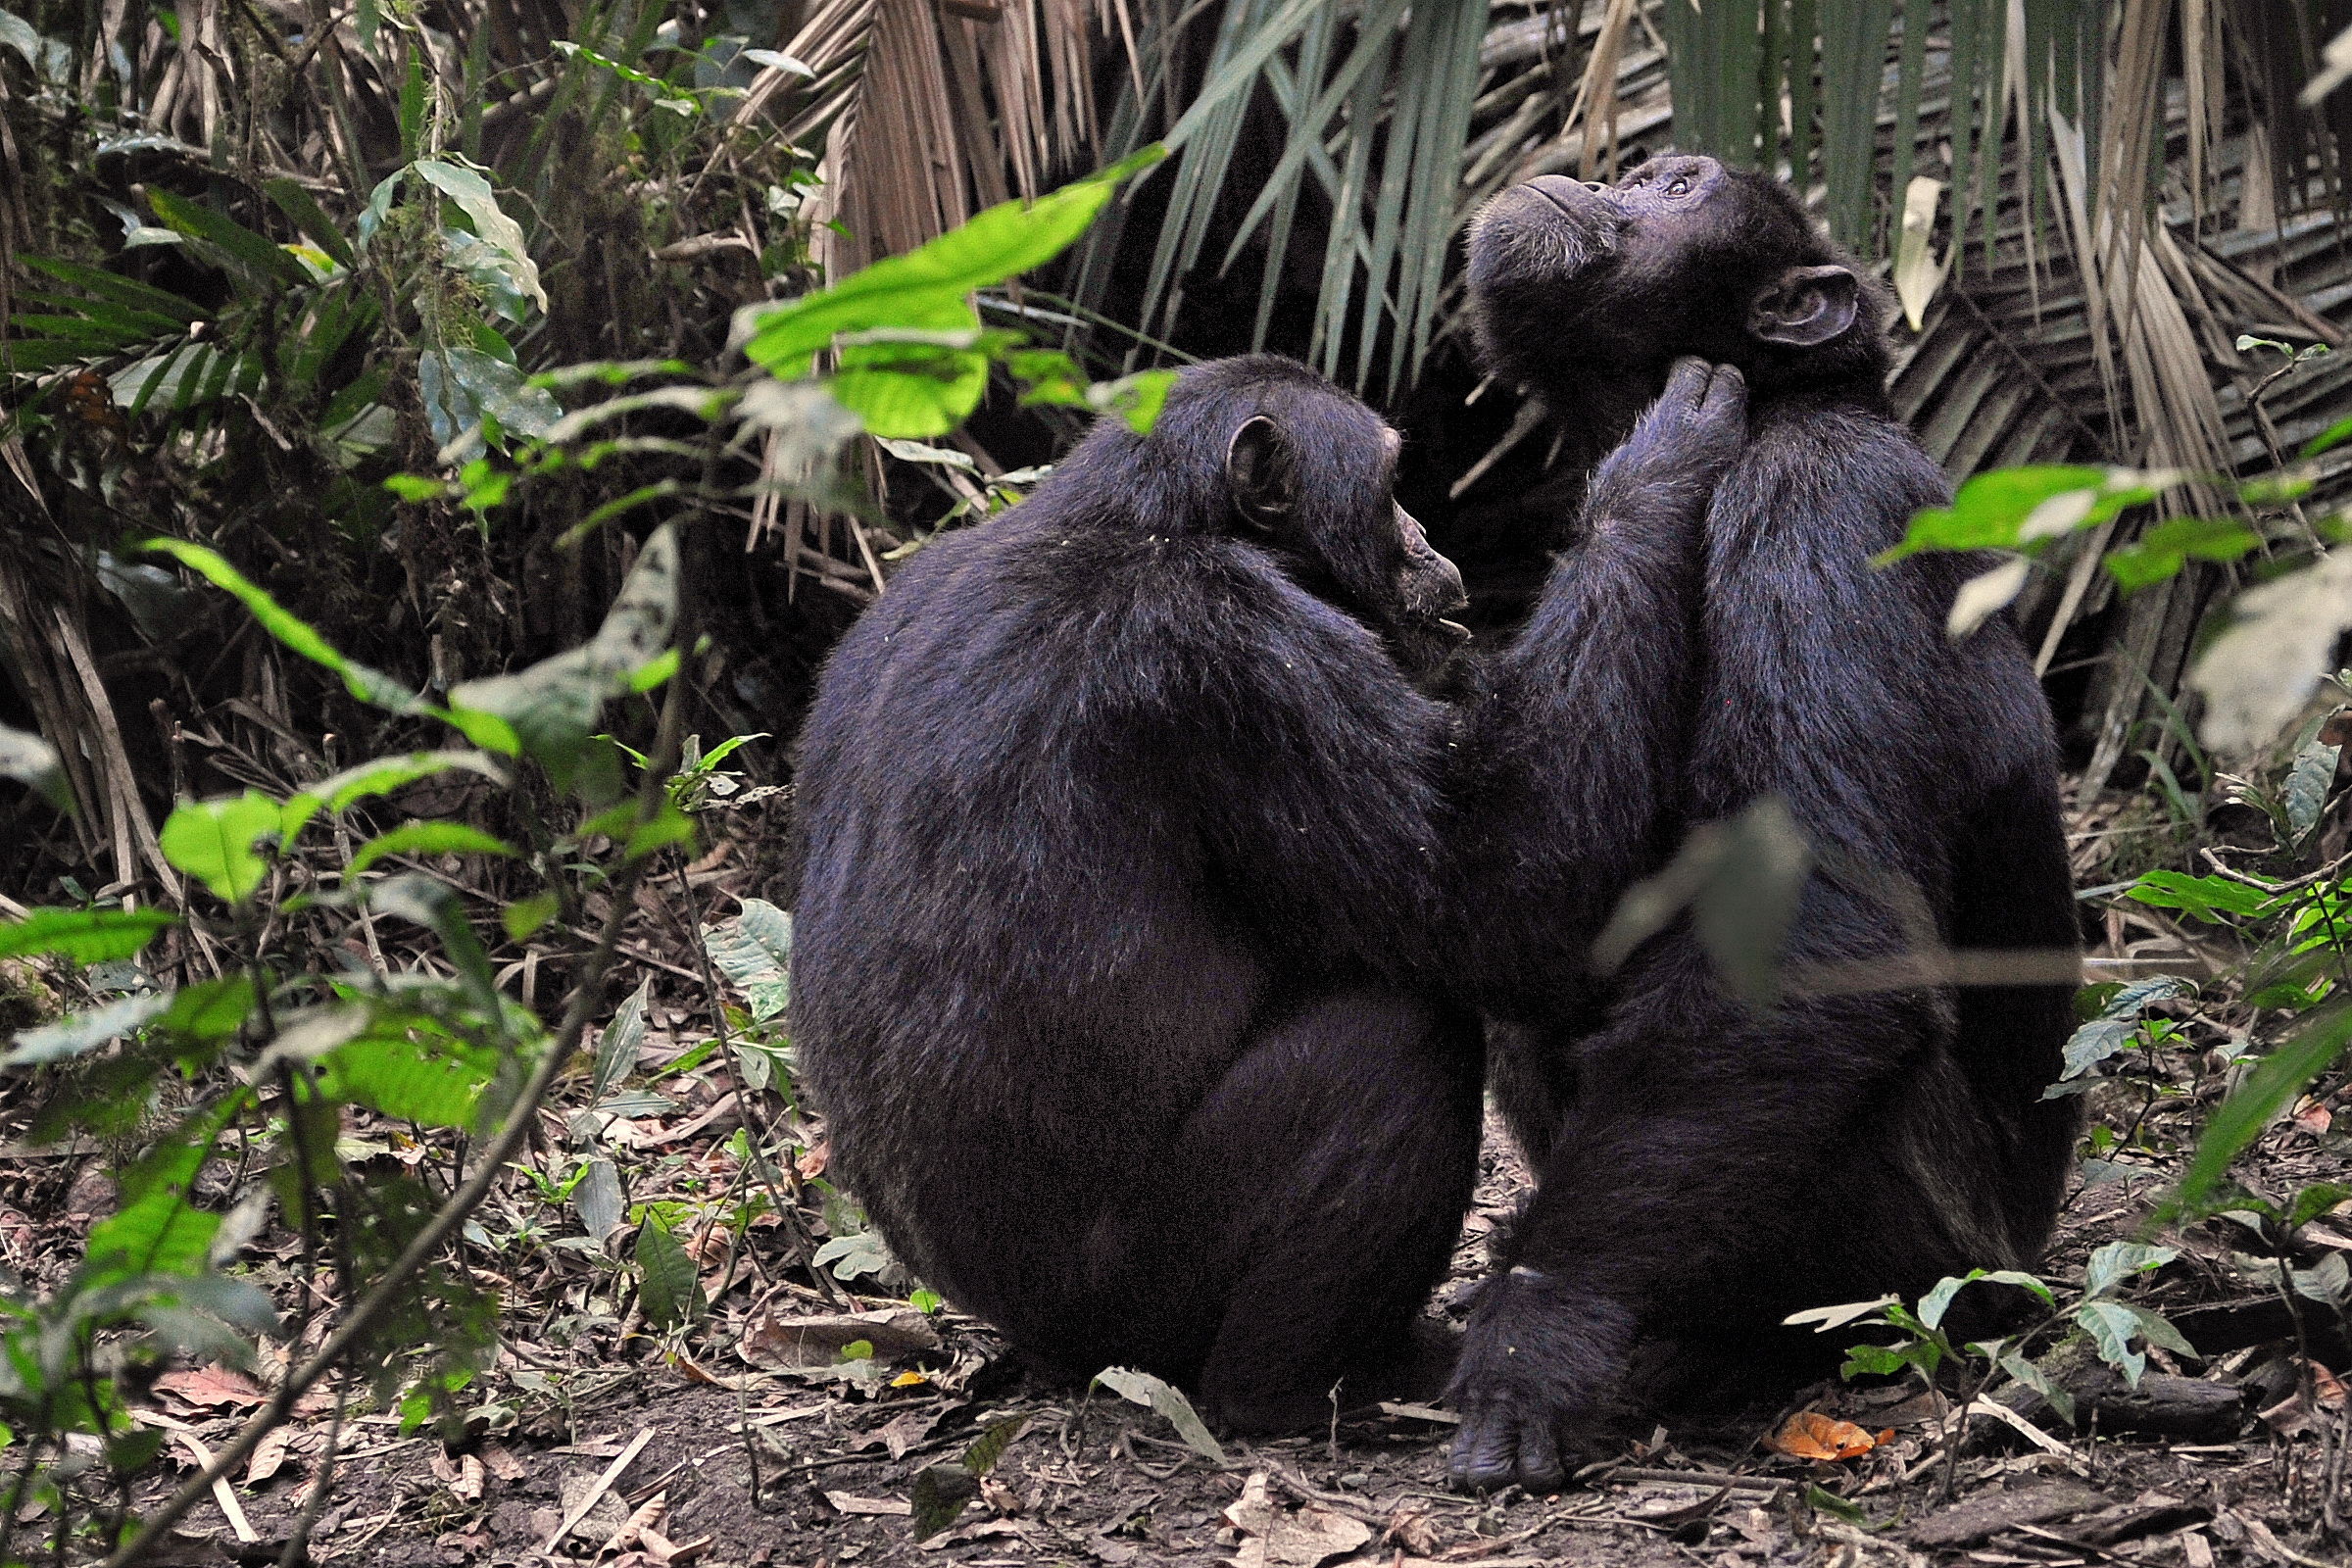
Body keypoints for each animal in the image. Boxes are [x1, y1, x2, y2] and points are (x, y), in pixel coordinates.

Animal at [1439, 152, 2088, 1494]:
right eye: (1648, 172)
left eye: (1680, 185)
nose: (1614, 174)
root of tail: (2032, 1263)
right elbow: (1514, 883)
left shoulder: (1817, 514)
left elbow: (1813, 934)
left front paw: (1539, 1323)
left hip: (1938, 1268)